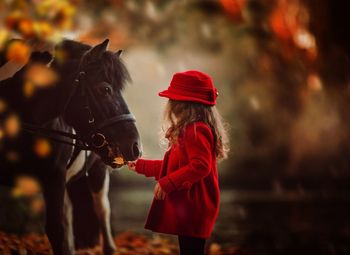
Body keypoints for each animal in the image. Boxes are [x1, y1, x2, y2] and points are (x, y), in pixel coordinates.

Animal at [0, 38, 139, 254]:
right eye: (105, 89)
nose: (135, 145)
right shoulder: (55, 180)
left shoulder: (54, 178)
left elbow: (57, 230)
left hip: (97, 172)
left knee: (102, 211)